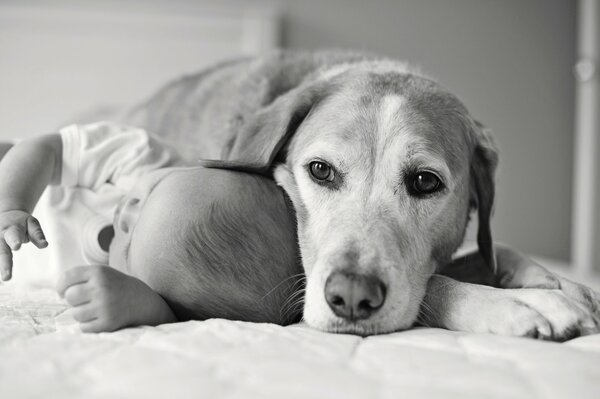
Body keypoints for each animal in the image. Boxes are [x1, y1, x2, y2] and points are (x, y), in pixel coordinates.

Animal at [118, 49, 600, 338]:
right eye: (320, 170)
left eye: (425, 181)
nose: (351, 296)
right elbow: (435, 284)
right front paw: (517, 303)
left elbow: (492, 249)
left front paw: (549, 279)